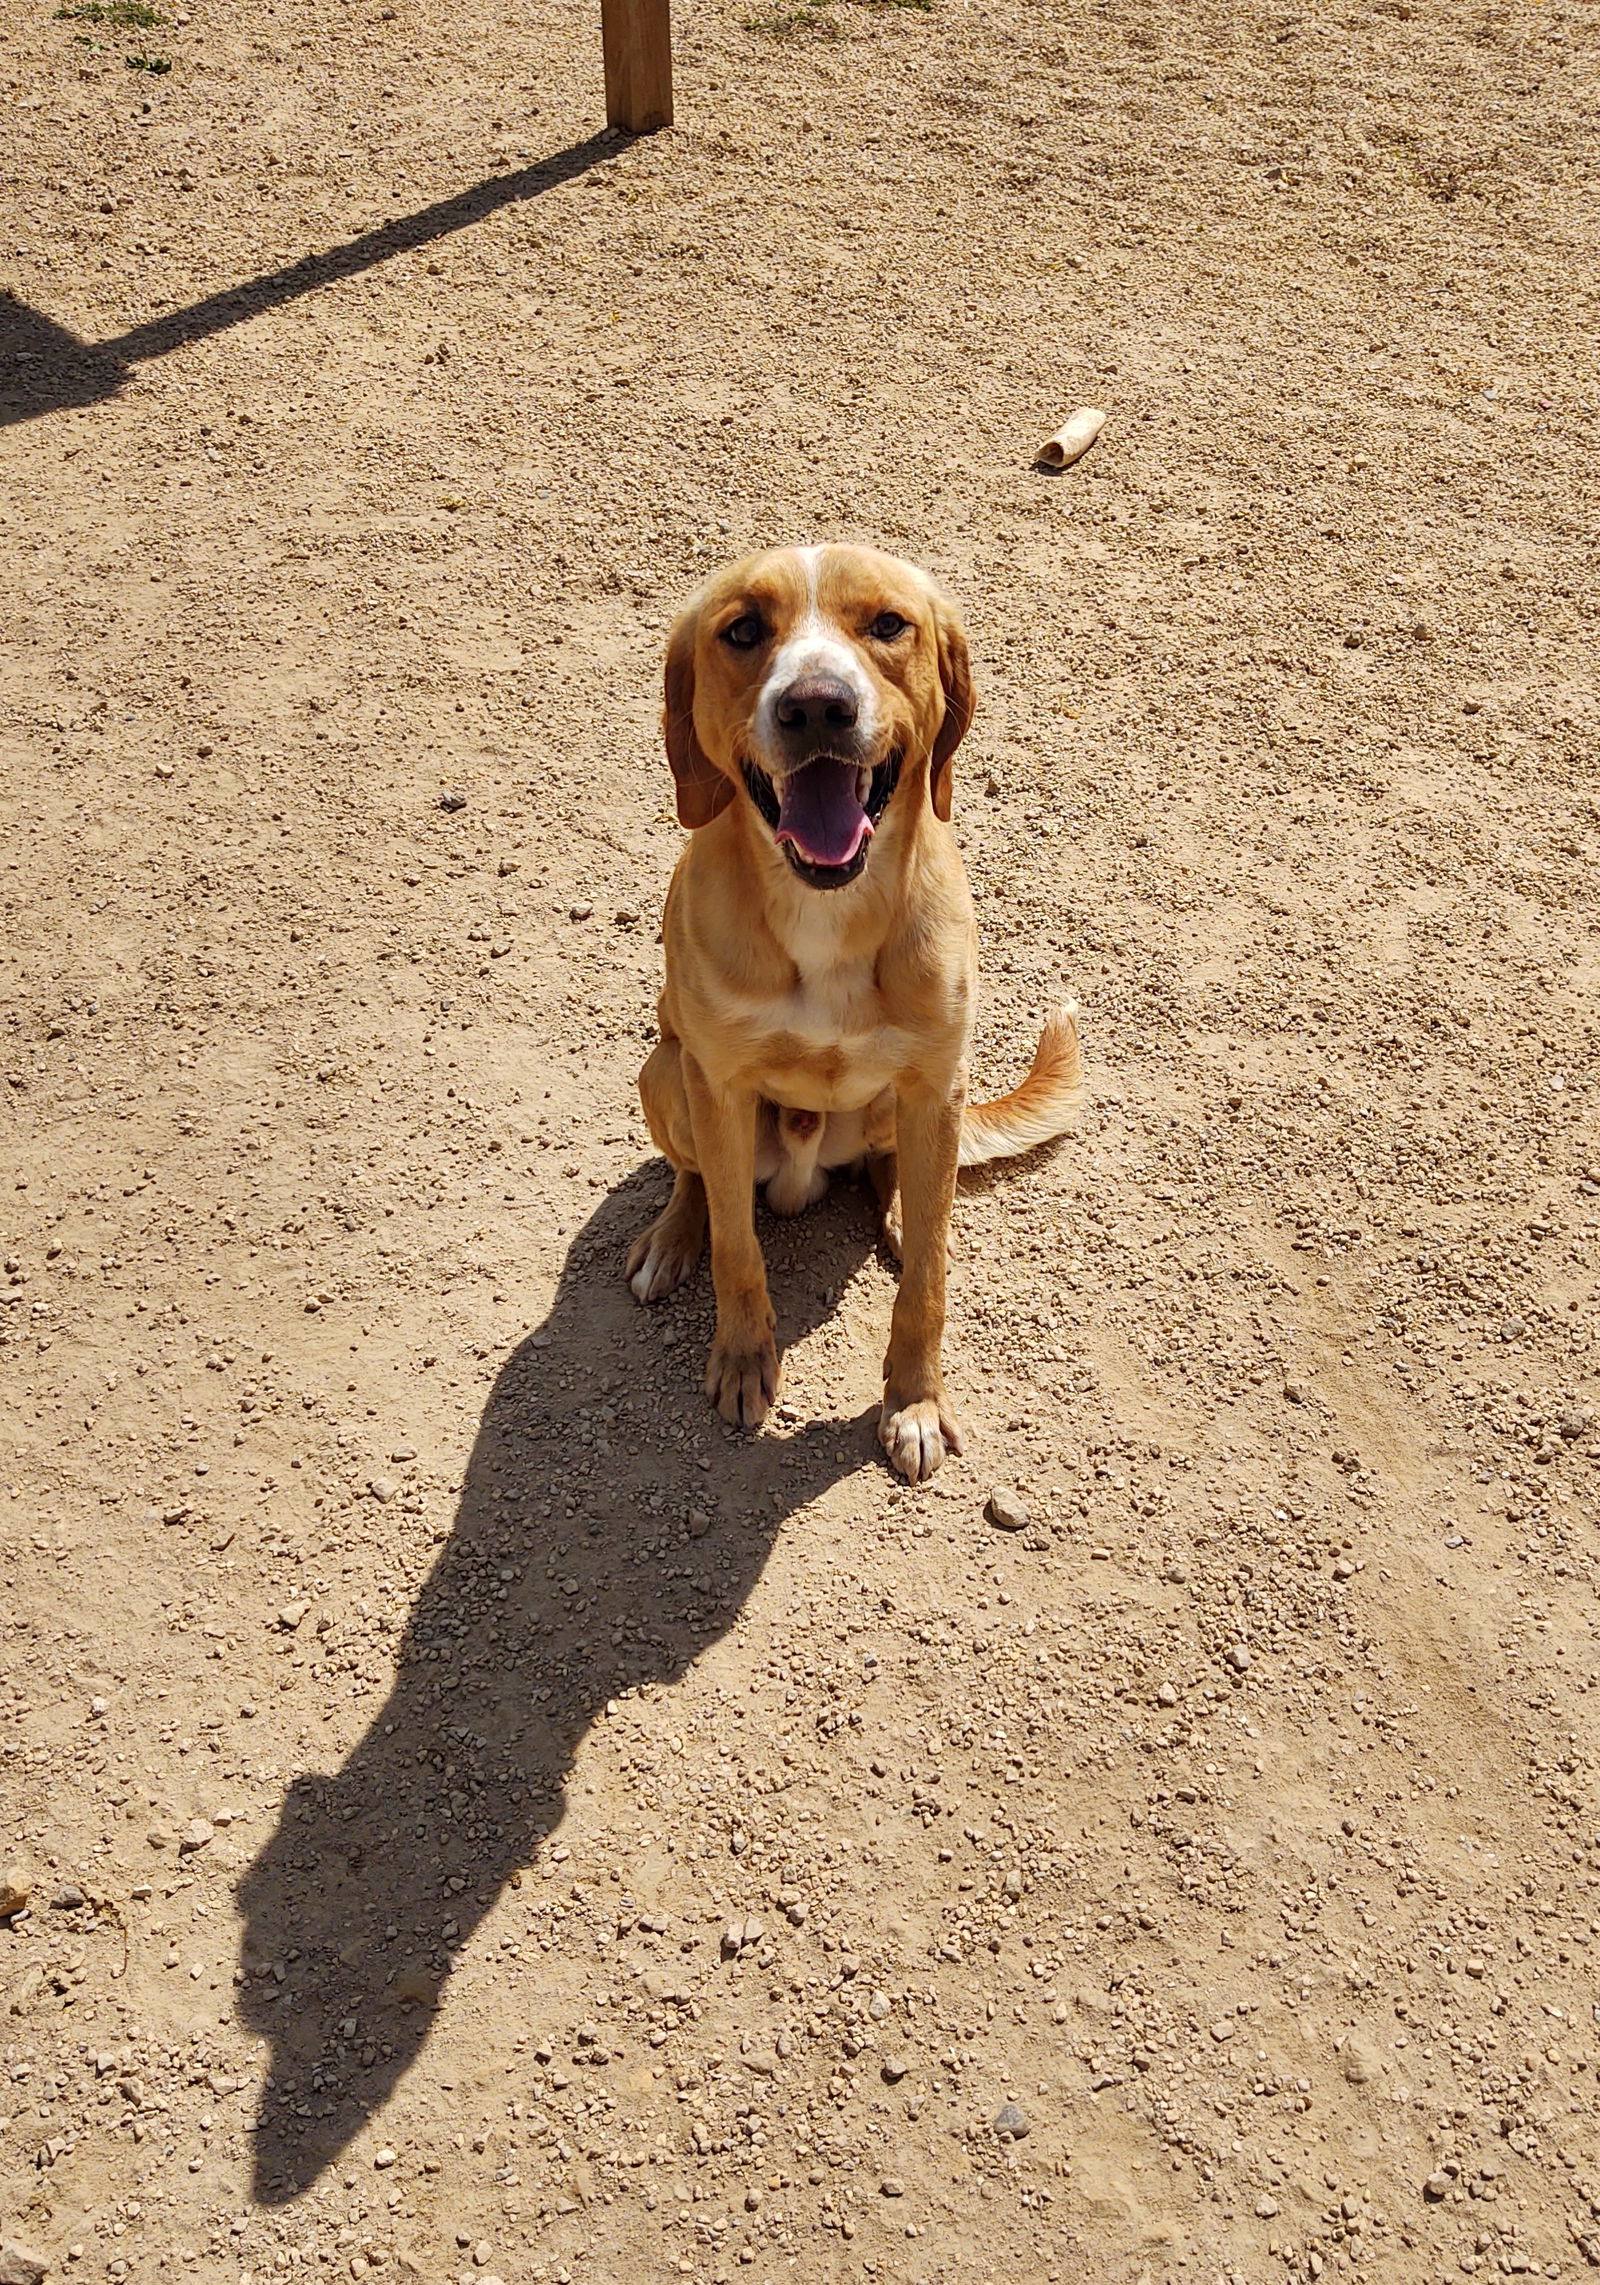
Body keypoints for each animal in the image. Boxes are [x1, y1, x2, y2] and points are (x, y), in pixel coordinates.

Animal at [626, 548, 1074, 1480]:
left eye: (888, 624)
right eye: (743, 630)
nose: (817, 705)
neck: (826, 906)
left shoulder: (938, 1079)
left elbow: (927, 1286)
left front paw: (914, 1402)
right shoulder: (717, 1084)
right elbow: (737, 1247)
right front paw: (741, 1358)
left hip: (913, 1106)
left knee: (903, 1176)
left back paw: (907, 1209)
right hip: (666, 1072)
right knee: (697, 1178)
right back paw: (671, 1236)